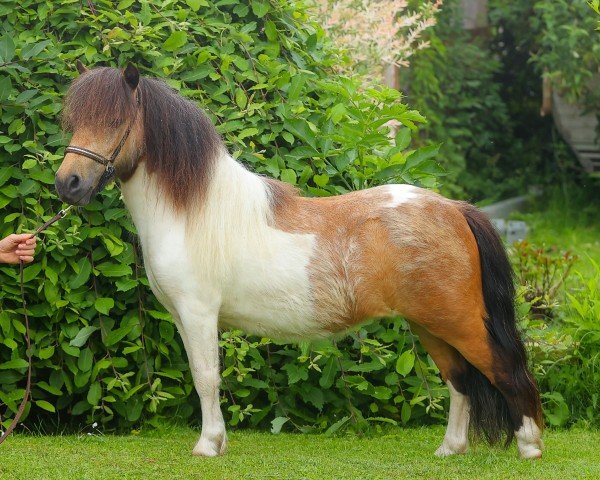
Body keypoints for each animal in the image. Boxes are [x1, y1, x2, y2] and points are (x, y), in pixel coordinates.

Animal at [55, 63, 544, 458]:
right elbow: (204, 377)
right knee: (458, 379)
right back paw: (450, 449)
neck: (194, 211)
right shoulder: (183, 316)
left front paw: (208, 445)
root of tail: (455, 209)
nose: (68, 184)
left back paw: (529, 446)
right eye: (74, 121)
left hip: (457, 320)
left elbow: (205, 377)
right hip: (429, 323)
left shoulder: (198, 314)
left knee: (504, 367)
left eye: (115, 120)